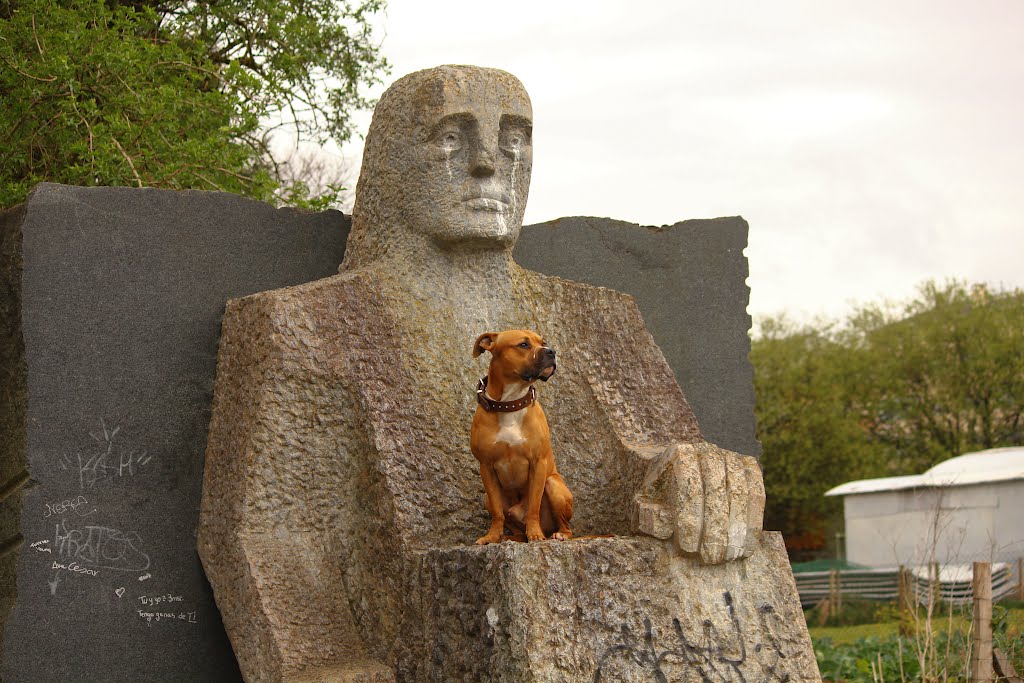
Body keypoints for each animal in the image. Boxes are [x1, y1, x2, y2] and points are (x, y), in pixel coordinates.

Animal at [468, 331, 573, 544]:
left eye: (543, 342)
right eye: (524, 345)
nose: (551, 351)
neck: (510, 402)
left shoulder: (538, 463)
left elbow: (533, 505)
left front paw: (535, 534)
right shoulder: (486, 467)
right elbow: (497, 512)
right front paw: (492, 536)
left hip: (554, 485)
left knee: (566, 526)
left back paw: (558, 534)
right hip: (488, 499)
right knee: (510, 522)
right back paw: (511, 537)